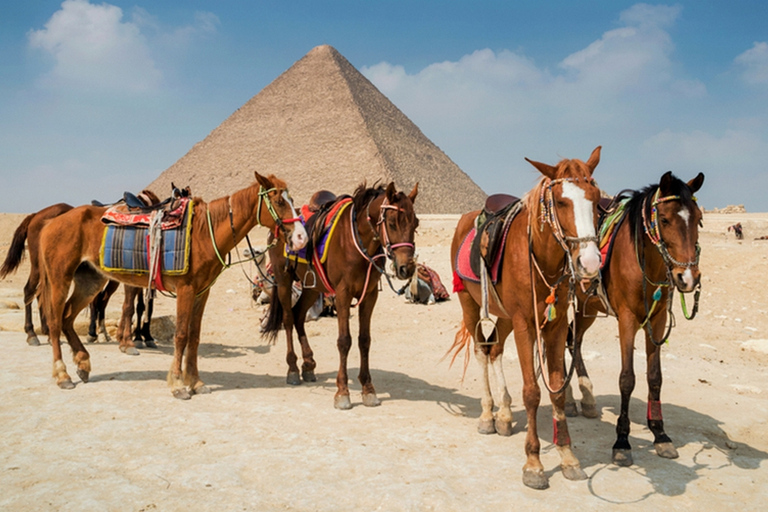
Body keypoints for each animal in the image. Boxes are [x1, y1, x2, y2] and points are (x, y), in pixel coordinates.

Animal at [35, 173, 306, 400]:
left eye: (292, 199)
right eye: (279, 201)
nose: (301, 237)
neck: (204, 233)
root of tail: (50, 223)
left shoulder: (202, 292)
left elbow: (194, 336)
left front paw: (196, 382)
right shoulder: (185, 289)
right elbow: (181, 335)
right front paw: (178, 384)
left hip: (90, 280)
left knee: (68, 317)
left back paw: (82, 363)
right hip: (60, 278)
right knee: (56, 321)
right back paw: (63, 374)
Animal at [264, 182, 420, 410]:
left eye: (416, 223)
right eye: (392, 223)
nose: (406, 268)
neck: (358, 241)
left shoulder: (370, 295)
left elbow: (365, 340)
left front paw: (368, 389)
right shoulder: (342, 294)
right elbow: (344, 341)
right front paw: (342, 392)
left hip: (313, 287)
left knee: (299, 315)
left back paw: (308, 365)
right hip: (284, 280)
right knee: (288, 318)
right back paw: (293, 369)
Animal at [450, 146, 608, 490]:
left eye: (596, 199)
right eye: (560, 202)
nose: (590, 263)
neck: (544, 259)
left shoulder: (556, 325)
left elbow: (557, 390)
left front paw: (567, 457)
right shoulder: (525, 324)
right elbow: (533, 392)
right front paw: (534, 463)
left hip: (506, 316)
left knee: (495, 350)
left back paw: (505, 415)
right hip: (469, 303)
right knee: (481, 352)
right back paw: (487, 415)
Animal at [560, 172, 704, 468]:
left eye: (698, 219)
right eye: (664, 219)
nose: (688, 278)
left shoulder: (657, 320)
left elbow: (655, 377)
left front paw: (660, 435)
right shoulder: (626, 319)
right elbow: (627, 379)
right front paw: (622, 441)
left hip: (589, 307)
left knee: (573, 339)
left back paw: (586, 399)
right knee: (562, 341)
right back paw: (569, 399)